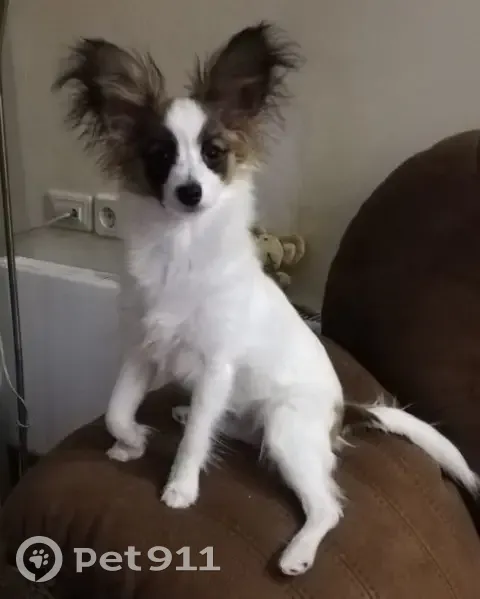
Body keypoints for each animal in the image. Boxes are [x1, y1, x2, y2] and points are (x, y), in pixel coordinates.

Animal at [53, 22, 479, 576]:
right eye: (160, 156)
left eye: (214, 153)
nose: (190, 193)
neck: (181, 247)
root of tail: (341, 411)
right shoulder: (143, 348)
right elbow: (116, 410)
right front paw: (131, 443)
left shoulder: (216, 365)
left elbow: (194, 442)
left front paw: (180, 487)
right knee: (227, 427)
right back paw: (195, 417)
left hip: (285, 428)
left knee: (326, 506)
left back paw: (298, 553)